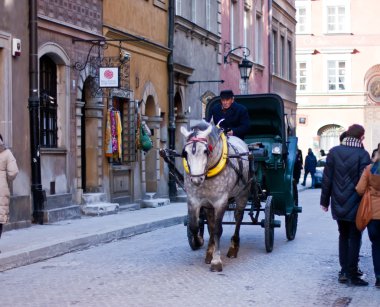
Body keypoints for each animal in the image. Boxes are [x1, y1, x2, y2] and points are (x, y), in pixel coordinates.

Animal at [180, 120, 251, 272]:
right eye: (185, 153)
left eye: (205, 151)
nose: (196, 180)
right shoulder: (195, 200)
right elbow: (195, 226)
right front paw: (200, 242)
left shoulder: (220, 201)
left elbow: (218, 229)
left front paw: (216, 260)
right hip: (209, 205)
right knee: (211, 225)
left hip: (243, 194)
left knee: (238, 218)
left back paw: (233, 247)